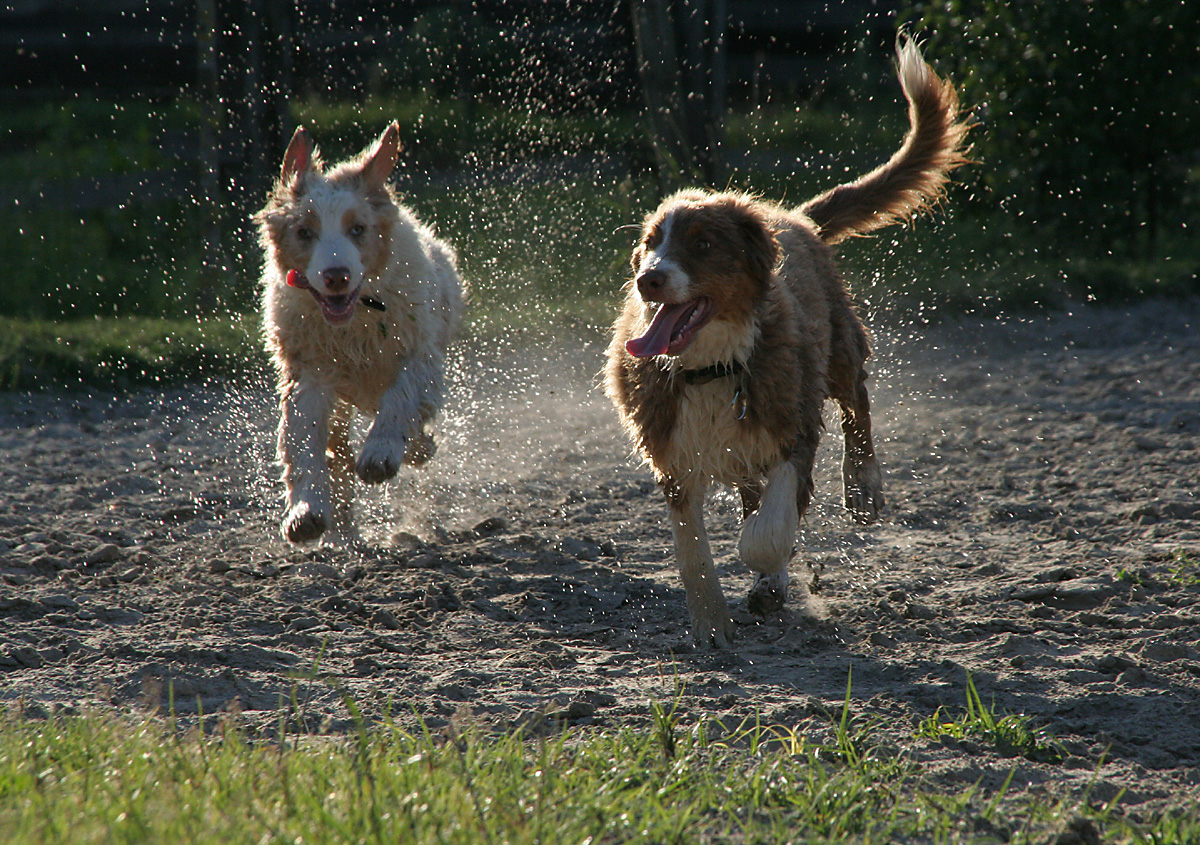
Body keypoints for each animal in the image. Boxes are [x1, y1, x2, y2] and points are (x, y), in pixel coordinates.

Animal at [255, 125, 460, 547]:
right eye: (305, 232)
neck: (358, 316)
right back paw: (343, 534)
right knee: (338, 456)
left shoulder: (420, 355)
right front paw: (306, 511)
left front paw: (381, 452)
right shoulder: (308, 374)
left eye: (358, 229)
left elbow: (401, 398)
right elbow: (303, 442)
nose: (336, 276)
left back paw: (415, 448)